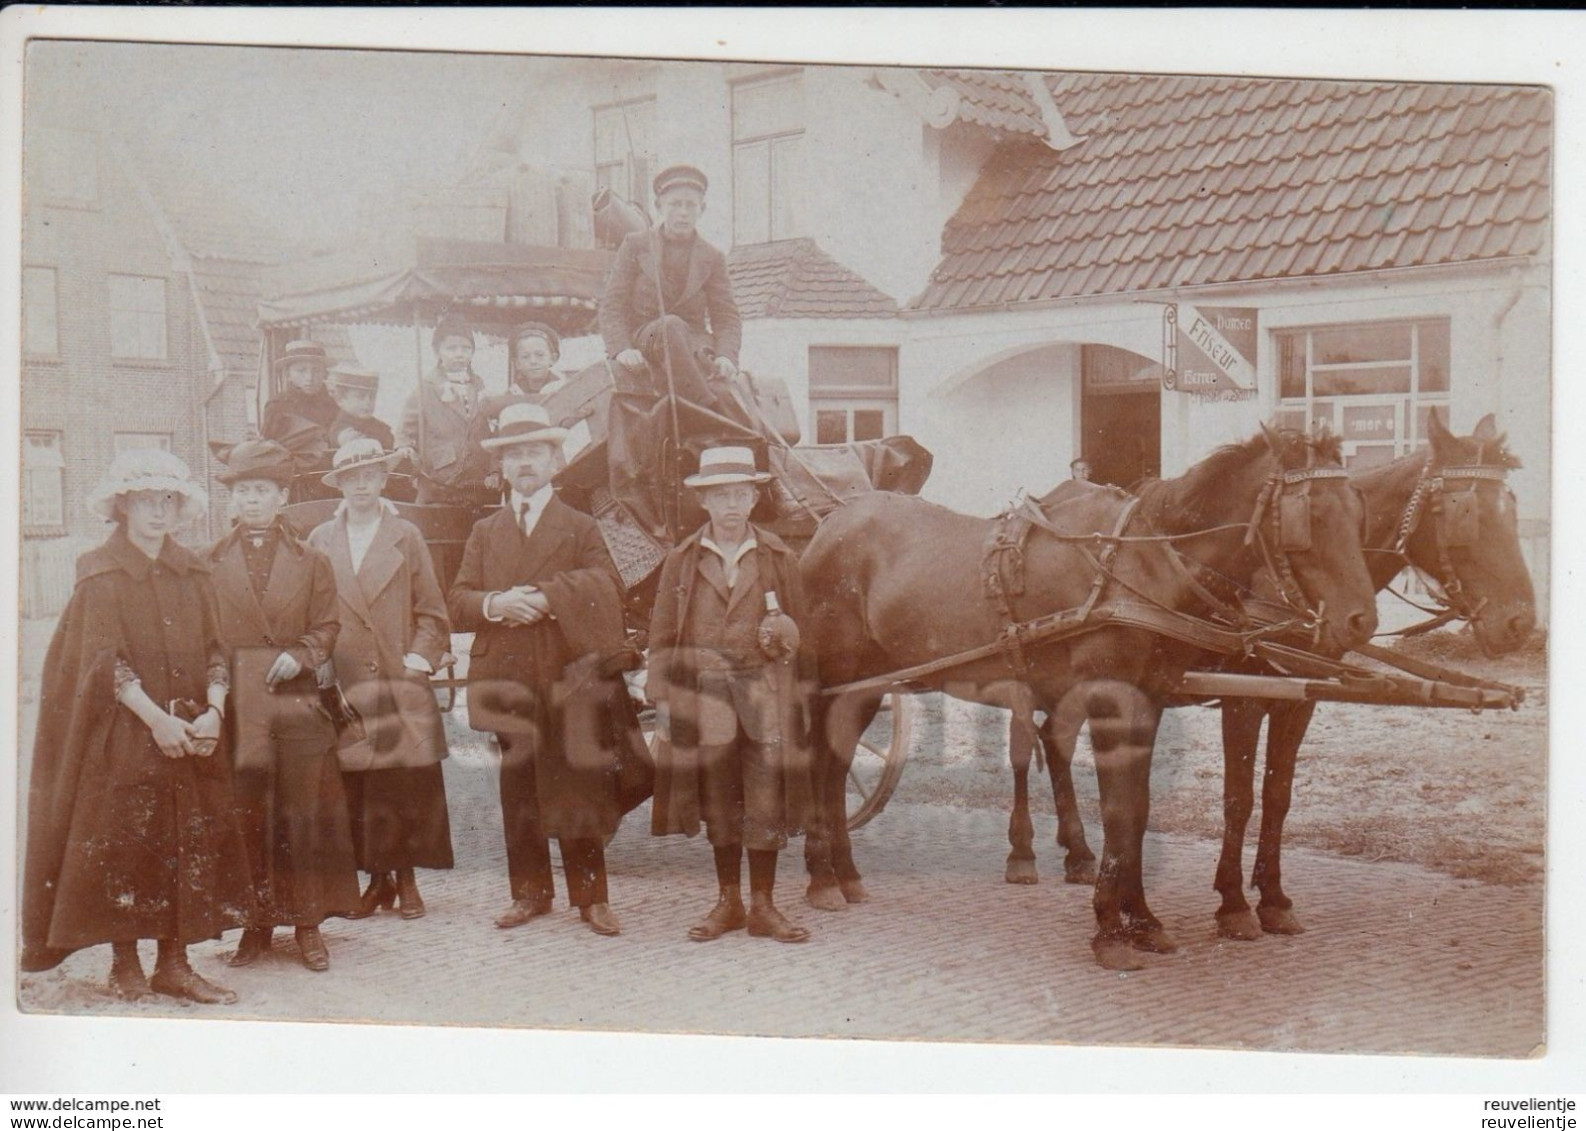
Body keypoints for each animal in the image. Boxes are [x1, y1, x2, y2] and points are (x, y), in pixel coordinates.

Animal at [799, 425, 1382, 970]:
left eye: (1359, 511)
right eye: (1310, 513)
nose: (1362, 620)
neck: (1143, 566)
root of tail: (830, 525)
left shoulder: (1148, 703)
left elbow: (1139, 812)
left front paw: (1142, 919)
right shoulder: (1115, 702)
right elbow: (1120, 811)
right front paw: (1110, 928)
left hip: (869, 685)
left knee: (836, 766)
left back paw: (843, 872)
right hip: (836, 677)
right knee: (819, 762)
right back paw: (822, 876)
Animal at [1002, 409, 1535, 939]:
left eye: (1511, 509)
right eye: (1466, 513)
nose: (1521, 623)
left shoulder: (1299, 701)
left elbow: (1277, 795)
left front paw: (1274, 898)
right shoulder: (1244, 699)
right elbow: (1239, 797)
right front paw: (1234, 902)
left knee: (1053, 741)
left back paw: (1077, 852)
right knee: (1025, 748)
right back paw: (1022, 852)